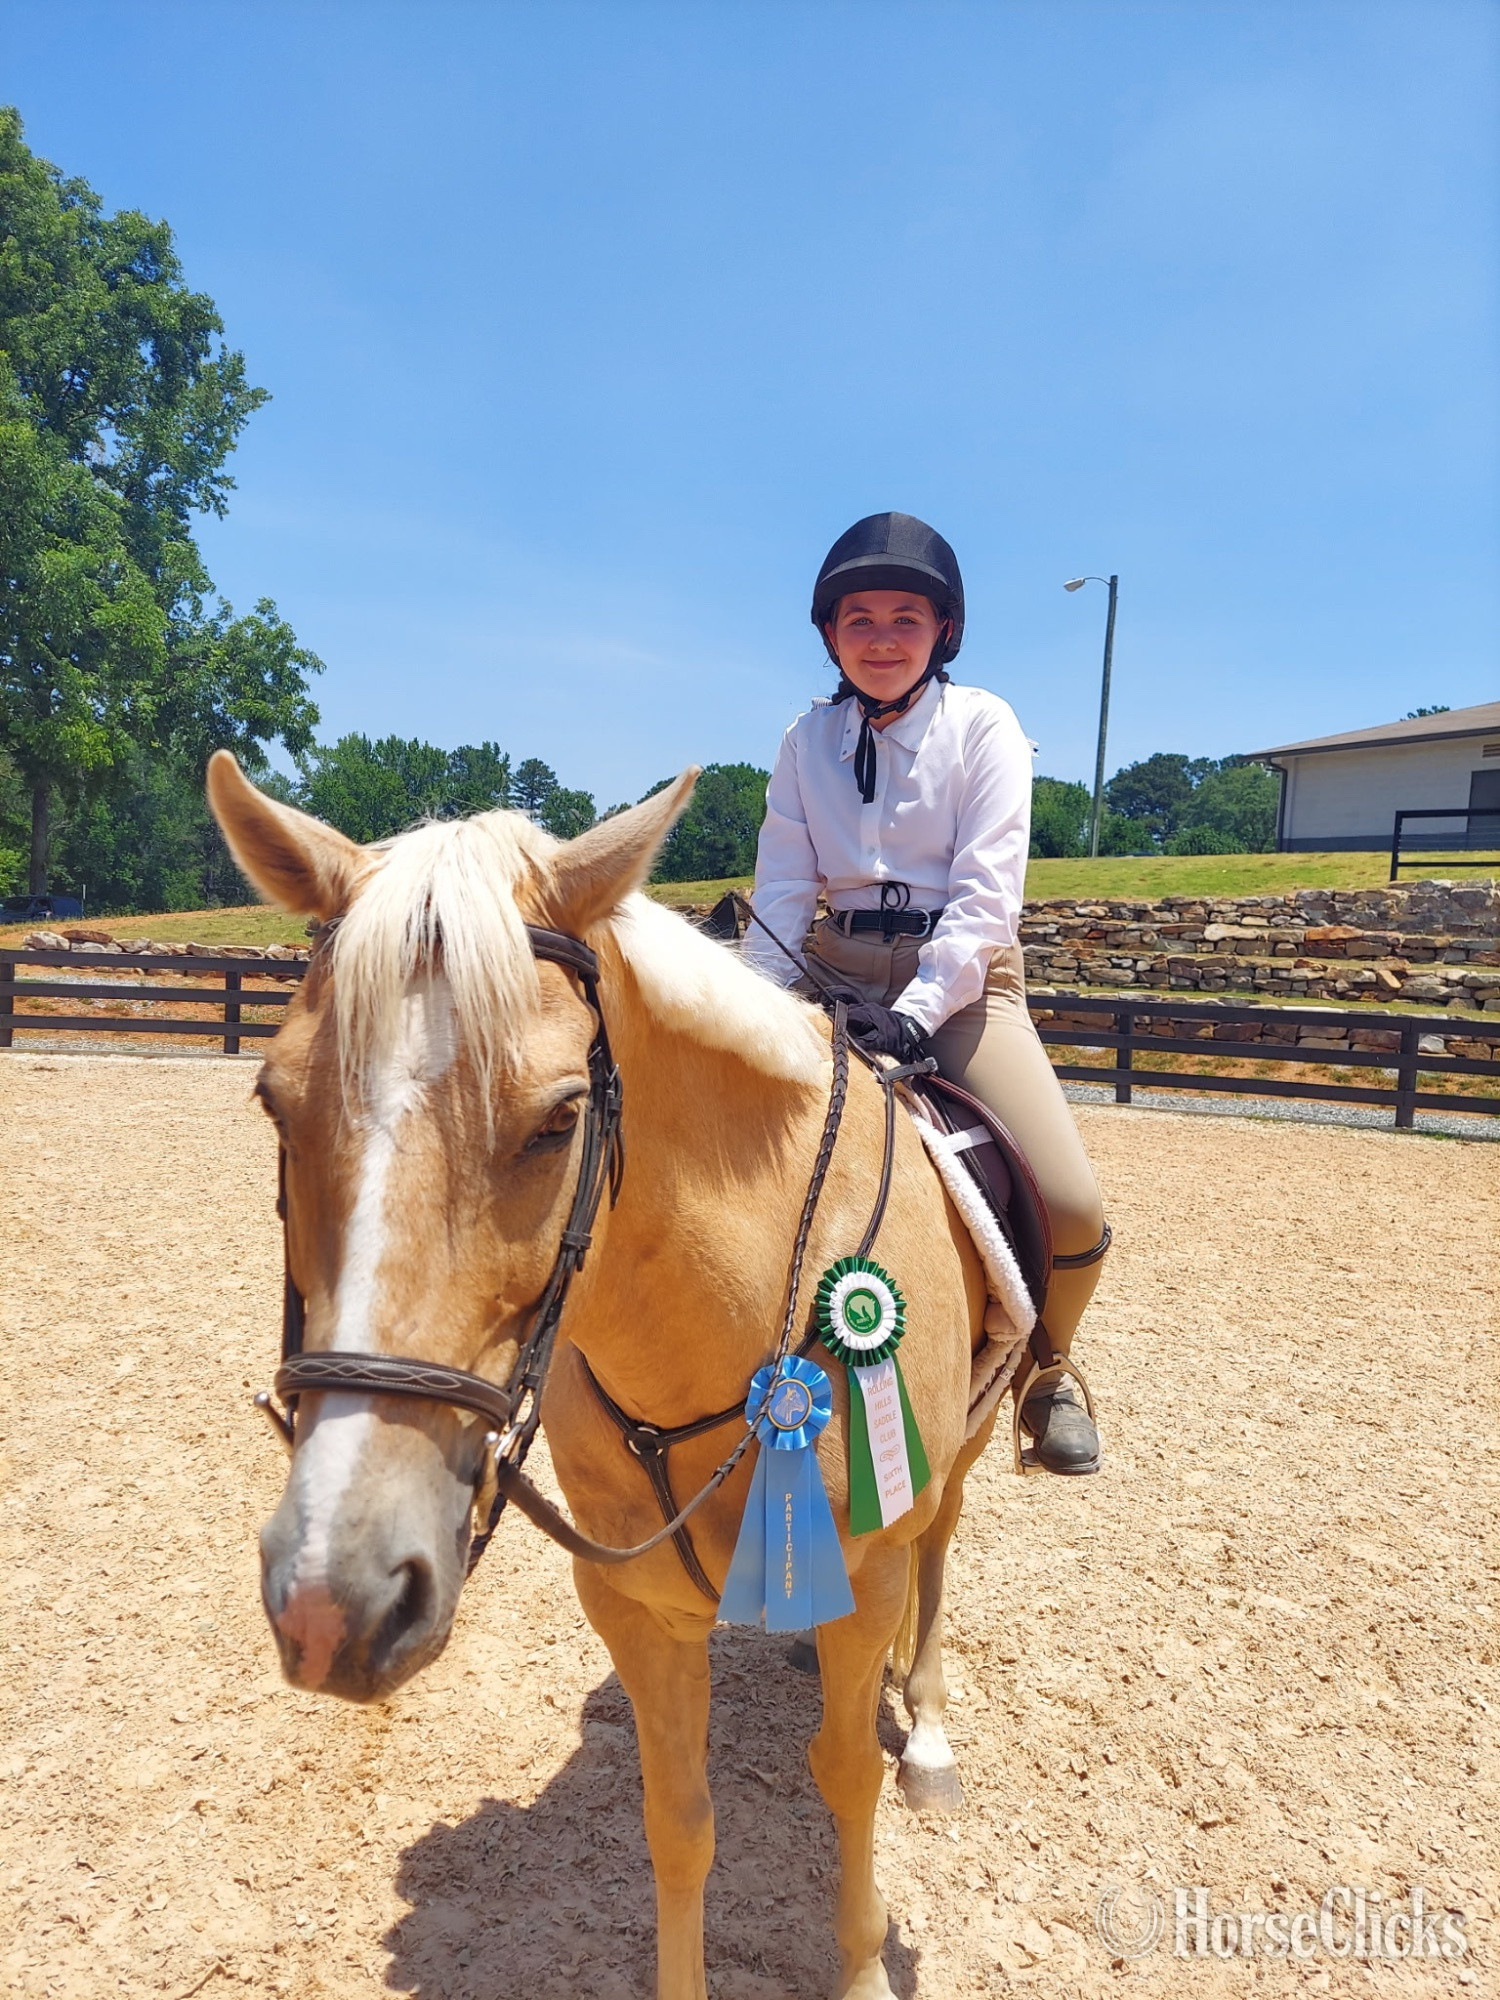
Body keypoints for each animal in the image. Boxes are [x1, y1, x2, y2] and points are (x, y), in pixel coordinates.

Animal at [208, 750, 1011, 2000]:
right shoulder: (634, 1603)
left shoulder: (871, 1559)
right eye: (274, 1100)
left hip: (955, 1459)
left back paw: (924, 1726)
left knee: (940, 1549)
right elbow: (676, 1818)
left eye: (559, 1119)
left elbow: (845, 1772)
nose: (335, 1600)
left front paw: (863, 1962)